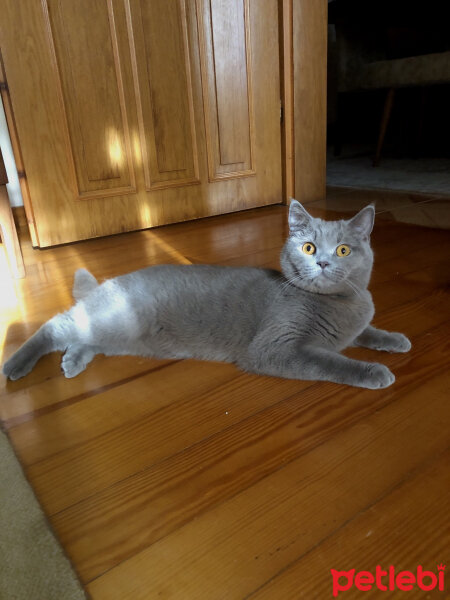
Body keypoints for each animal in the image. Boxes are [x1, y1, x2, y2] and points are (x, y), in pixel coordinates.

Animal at [2, 202, 412, 390]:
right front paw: (375, 371)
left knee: (82, 338)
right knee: (55, 327)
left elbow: (367, 331)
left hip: (111, 332)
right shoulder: (276, 347)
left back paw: (72, 362)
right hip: (106, 318)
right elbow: (330, 361)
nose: (324, 262)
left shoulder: (356, 321)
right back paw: (15, 365)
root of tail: (107, 283)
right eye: (309, 247)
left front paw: (395, 339)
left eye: (343, 250)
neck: (341, 304)